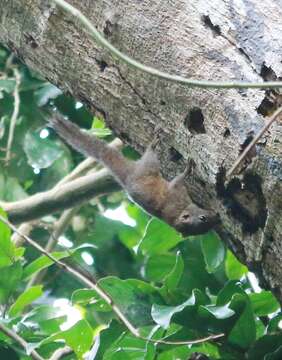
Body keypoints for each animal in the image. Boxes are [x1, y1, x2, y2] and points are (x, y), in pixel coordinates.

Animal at [49, 114, 219, 235]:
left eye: (207, 229)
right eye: (203, 219)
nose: (217, 217)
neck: (177, 215)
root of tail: (127, 175)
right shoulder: (176, 193)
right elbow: (179, 179)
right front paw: (189, 168)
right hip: (148, 166)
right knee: (151, 154)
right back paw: (154, 142)